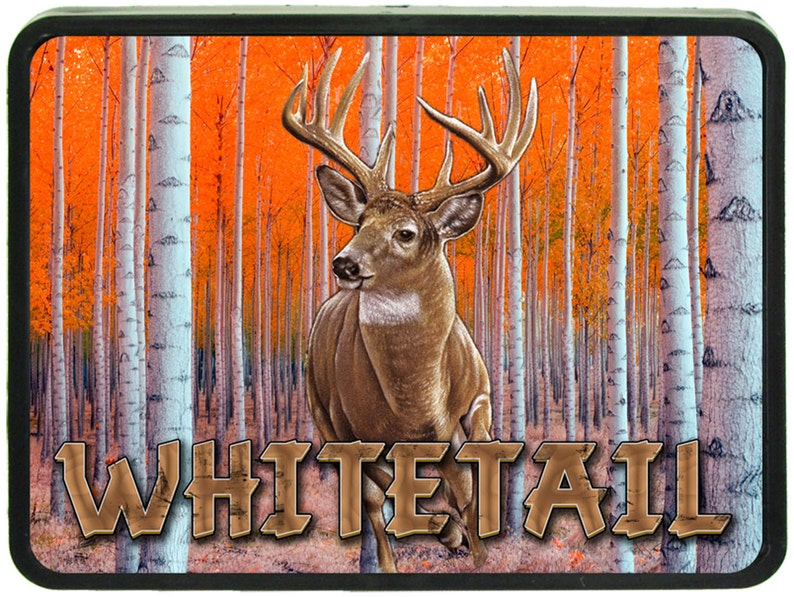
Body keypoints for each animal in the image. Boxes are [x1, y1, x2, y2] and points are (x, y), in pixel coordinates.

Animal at [282, 46, 537, 573]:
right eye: (360, 221)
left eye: (406, 232)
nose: (344, 262)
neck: (417, 402)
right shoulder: (350, 430)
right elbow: (381, 497)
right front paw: (432, 542)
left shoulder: (478, 399)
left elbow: (469, 483)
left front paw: (478, 549)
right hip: (320, 410)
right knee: (384, 495)